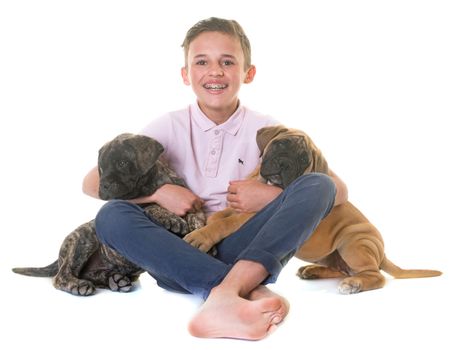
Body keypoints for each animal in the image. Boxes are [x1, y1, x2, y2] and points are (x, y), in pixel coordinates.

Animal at [12, 133, 206, 296]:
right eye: (101, 168)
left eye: (122, 163)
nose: (103, 184)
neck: (151, 183)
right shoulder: (137, 201)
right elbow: (151, 204)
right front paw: (170, 217)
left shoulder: (192, 201)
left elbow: (196, 216)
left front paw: (199, 233)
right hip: (84, 238)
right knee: (61, 276)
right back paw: (78, 285)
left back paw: (115, 281)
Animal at [184, 124, 442, 294]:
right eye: (280, 144)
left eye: (303, 159)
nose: (284, 163)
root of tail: (382, 252)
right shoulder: (236, 208)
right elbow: (219, 216)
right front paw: (204, 226)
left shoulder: (249, 214)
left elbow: (224, 223)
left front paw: (201, 237)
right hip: (334, 255)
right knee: (343, 269)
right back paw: (313, 271)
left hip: (353, 242)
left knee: (374, 276)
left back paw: (354, 284)